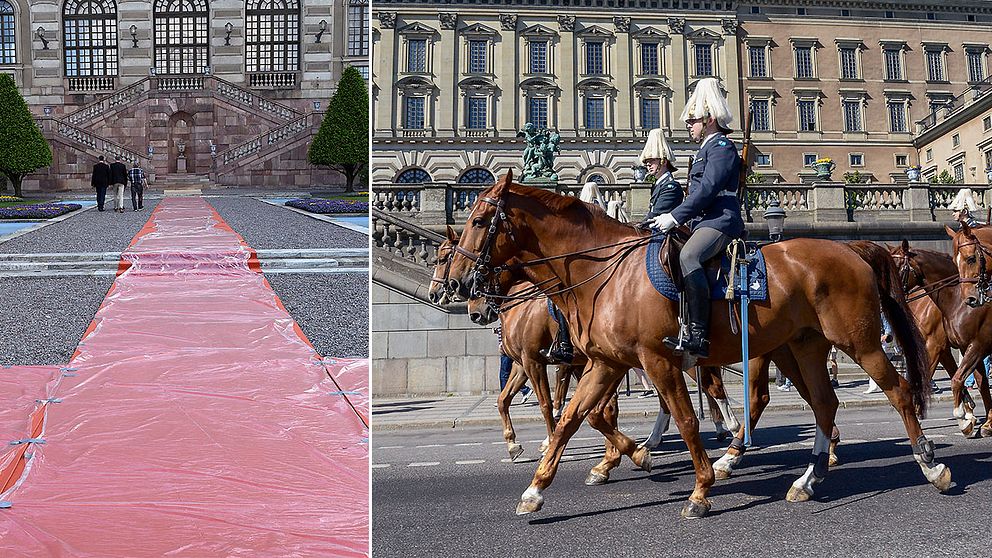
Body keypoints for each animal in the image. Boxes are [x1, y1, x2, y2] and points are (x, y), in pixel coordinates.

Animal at [442, 175, 944, 520]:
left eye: (479, 221)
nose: (459, 288)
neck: (604, 275)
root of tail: (852, 248)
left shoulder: (655, 360)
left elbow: (683, 419)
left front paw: (698, 488)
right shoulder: (604, 363)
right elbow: (573, 418)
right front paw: (538, 488)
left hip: (857, 342)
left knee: (897, 391)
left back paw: (929, 465)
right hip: (800, 348)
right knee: (822, 403)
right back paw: (807, 476)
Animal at [892, 241, 992, 438]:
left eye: (897, 266)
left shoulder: (938, 346)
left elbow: (950, 378)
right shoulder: (951, 348)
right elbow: (968, 378)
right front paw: (969, 415)